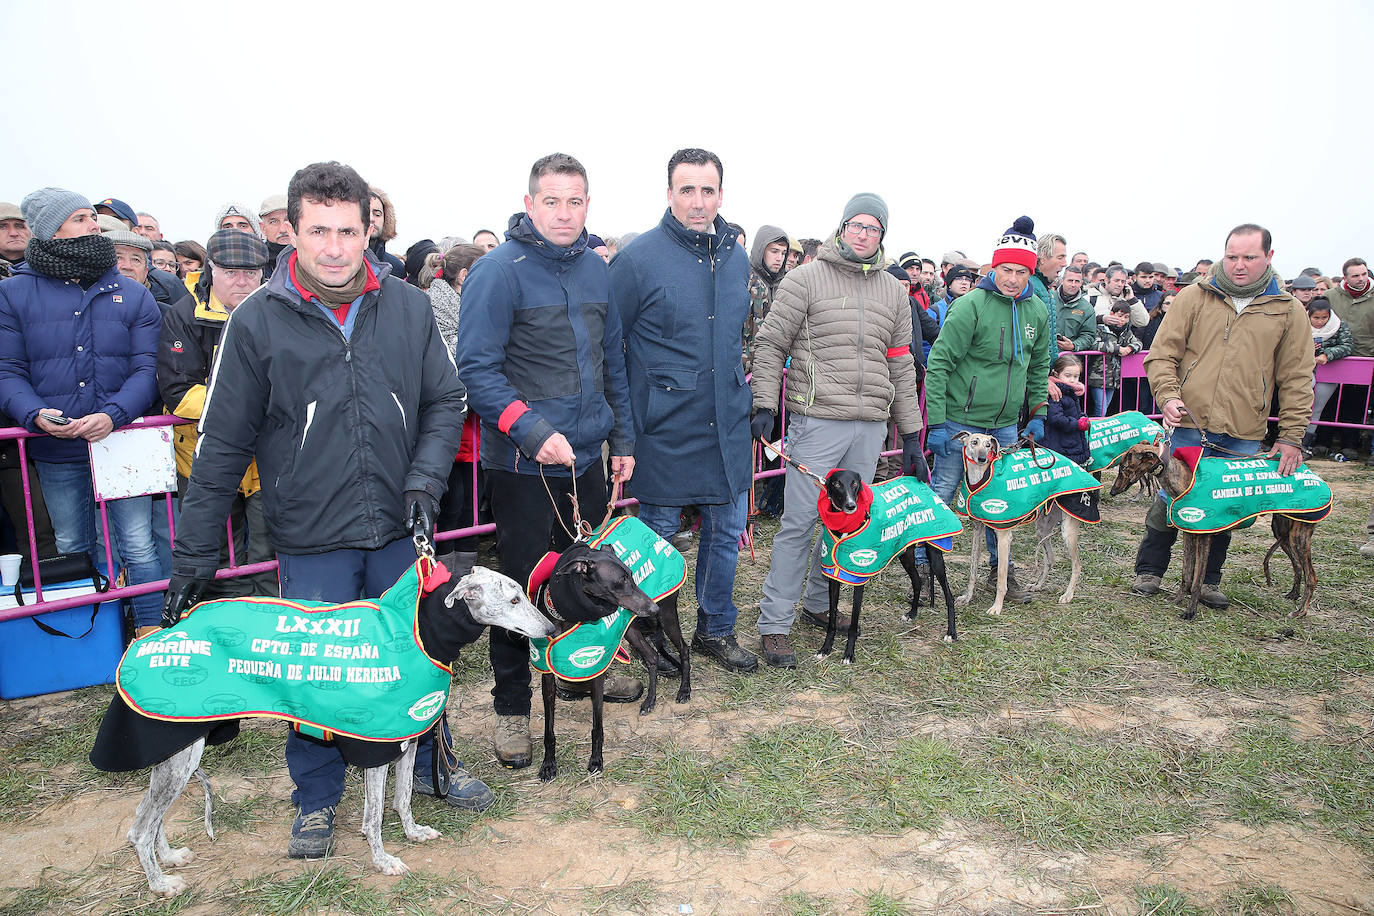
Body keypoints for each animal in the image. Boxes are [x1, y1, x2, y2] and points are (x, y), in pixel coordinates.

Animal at [92, 565, 552, 895]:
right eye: (513, 598)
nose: (549, 630)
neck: (418, 631)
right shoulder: (376, 749)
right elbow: (374, 816)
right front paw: (383, 861)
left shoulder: (406, 739)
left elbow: (402, 799)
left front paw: (413, 833)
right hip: (180, 753)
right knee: (139, 828)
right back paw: (159, 884)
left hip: (179, 754)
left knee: (151, 819)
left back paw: (168, 859)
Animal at [533, 541, 656, 785]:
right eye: (621, 581)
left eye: (632, 575)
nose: (653, 608)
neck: (565, 615)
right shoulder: (547, 675)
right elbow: (549, 728)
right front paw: (549, 764)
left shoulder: (596, 672)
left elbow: (597, 725)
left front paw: (596, 760)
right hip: (631, 630)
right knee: (652, 657)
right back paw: (649, 701)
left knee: (657, 657)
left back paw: (652, 700)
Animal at [813, 469, 956, 661]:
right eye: (836, 484)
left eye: (854, 483)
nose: (851, 506)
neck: (846, 525)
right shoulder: (833, 578)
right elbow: (832, 617)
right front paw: (826, 648)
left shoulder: (858, 579)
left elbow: (853, 623)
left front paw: (849, 654)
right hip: (906, 554)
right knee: (917, 581)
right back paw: (912, 614)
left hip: (935, 557)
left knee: (949, 596)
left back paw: (951, 633)